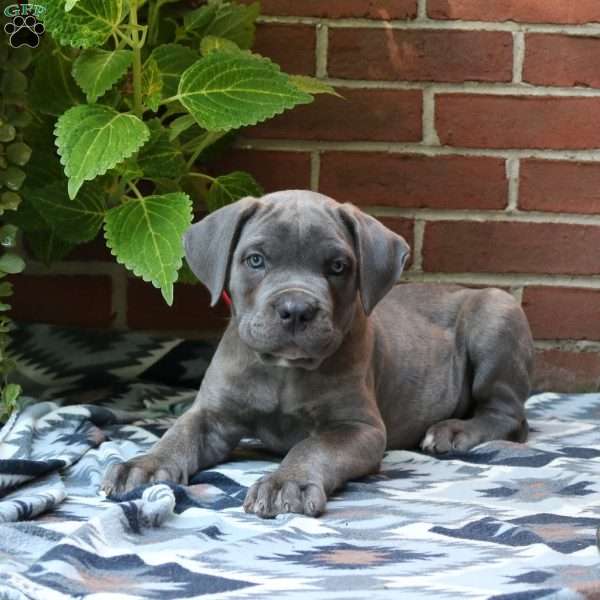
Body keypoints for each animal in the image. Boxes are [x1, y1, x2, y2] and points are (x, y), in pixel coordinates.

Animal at [102, 191, 536, 516]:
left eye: (338, 266)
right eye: (255, 260)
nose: (296, 309)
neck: (282, 371)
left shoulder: (358, 428)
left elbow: (313, 446)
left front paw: (285, 483)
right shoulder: (212, 414)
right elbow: (179, 434)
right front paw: (143, 465)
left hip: (496, 313)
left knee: (507, 415)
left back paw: (453, 431)